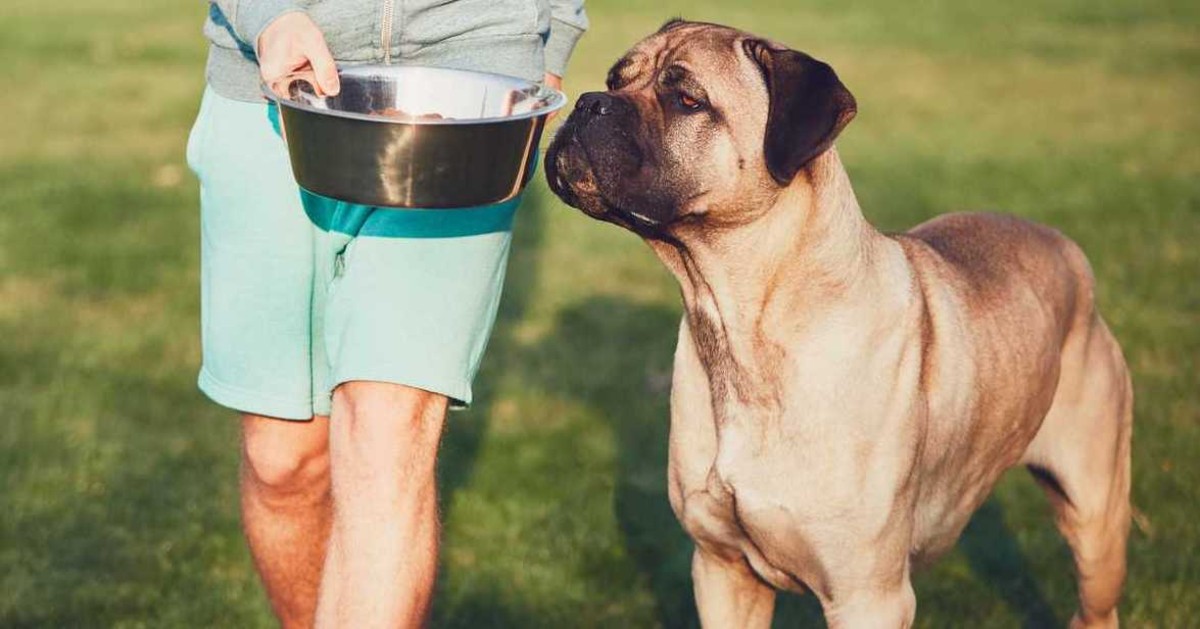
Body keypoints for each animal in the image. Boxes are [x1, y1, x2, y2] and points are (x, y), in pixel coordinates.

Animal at [547, 18, 1132, 624]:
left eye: (687, 99)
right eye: (616, 80)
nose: (588, 102)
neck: (741, 323)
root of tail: (1066, 248)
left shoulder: (867, 595)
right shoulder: (721, 568)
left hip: (1095, 515)